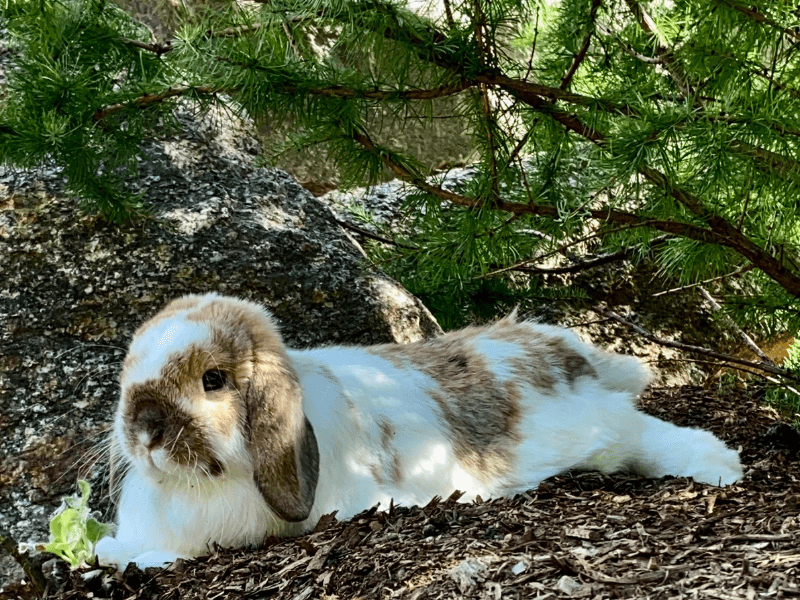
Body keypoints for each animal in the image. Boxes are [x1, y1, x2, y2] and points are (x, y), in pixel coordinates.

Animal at [95, 293, 743, 569]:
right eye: (130, 364)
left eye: (214, 379)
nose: (144, 427)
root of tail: (560, 349)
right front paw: (105, 549)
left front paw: (135, 560)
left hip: (600, 429)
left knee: (650, 434)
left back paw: (720, 467)